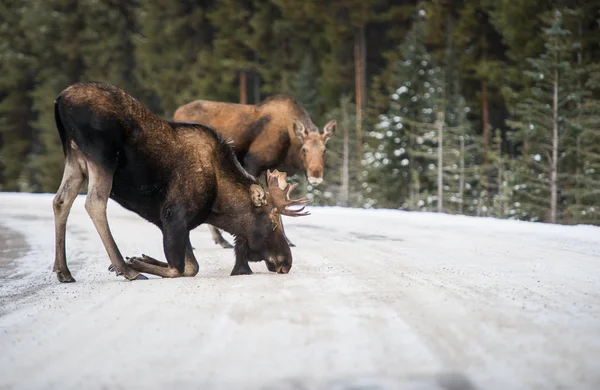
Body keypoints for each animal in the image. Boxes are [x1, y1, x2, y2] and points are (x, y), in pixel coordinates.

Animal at [51, 83, 310, 284]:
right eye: (273, 221)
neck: (218, 204)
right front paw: (135, 262)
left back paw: (64, 271)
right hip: (101, 156)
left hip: (75, 159)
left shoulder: (176, 223)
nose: (286, 262)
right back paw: (126, 270)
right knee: (94, 203)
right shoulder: (173, 216)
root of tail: (60, 99)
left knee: (61, 201)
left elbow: (189, 265)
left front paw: (144, 259)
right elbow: (182, 268)